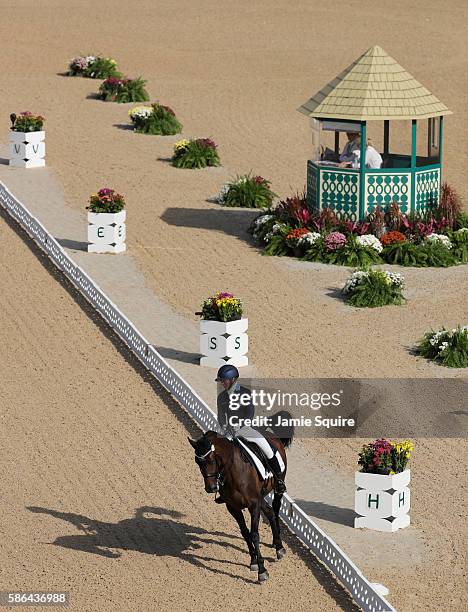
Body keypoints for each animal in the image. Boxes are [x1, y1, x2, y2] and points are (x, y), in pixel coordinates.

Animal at [187, 416, 292, 584]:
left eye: (211, 458)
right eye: (197, 461)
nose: (211, 488)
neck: (232, 471)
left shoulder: (253, 505)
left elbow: (254, 535)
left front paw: (262, 571)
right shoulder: (233, 507)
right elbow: (245, 533)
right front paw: (254, 561)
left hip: (276, 487)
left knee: (275, 508)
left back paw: (279, 547)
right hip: (260, 496)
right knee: (269, 512)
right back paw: (277, 544)